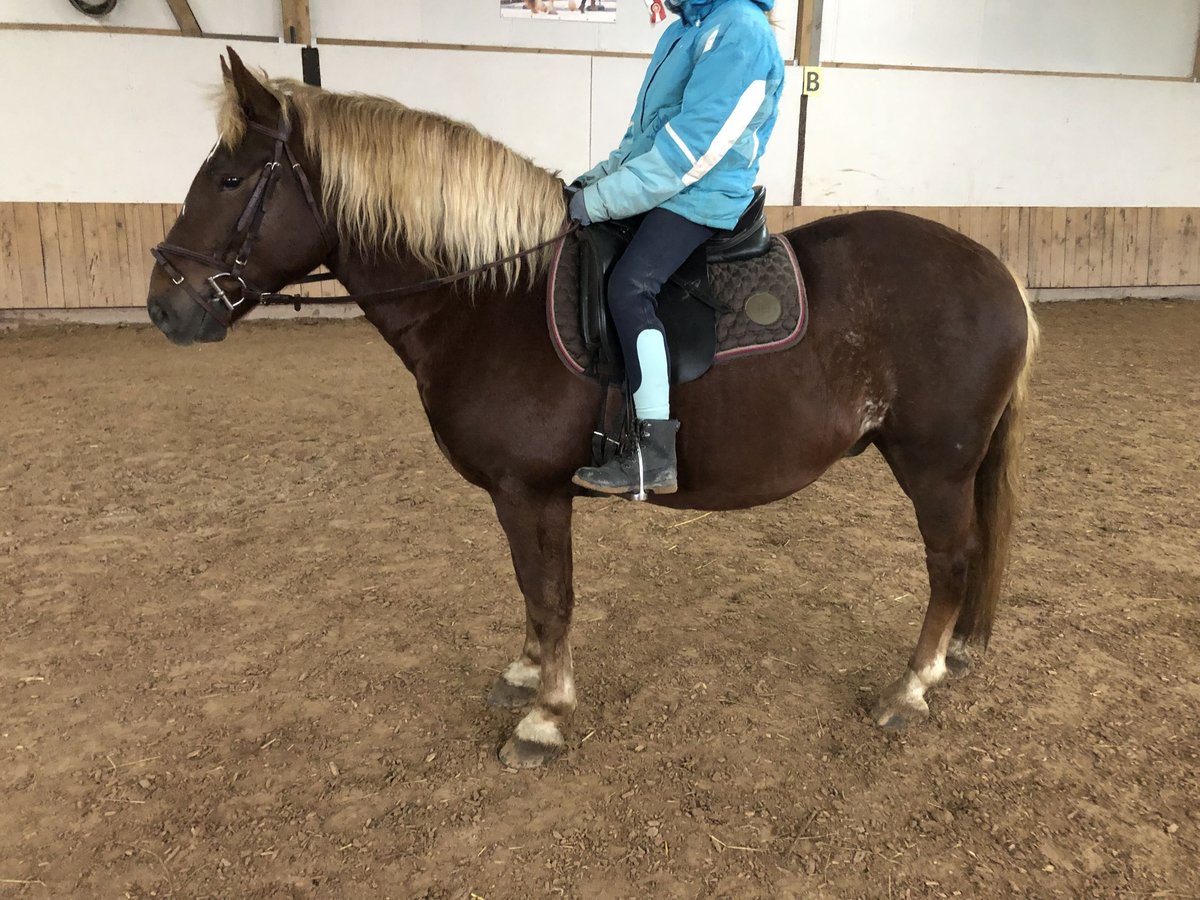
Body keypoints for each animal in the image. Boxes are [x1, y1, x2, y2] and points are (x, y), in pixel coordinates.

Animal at [147, 49, 1038, 769]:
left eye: (229, 181)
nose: (164, 307)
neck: (488, 298)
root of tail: (996, 271)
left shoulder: (531, 491)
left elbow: (551, 594)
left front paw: (545, 717)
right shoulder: (523, 498)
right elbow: (529, 588)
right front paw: (526, 673)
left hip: (935, 465)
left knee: (951, 563)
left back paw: (909, 689)